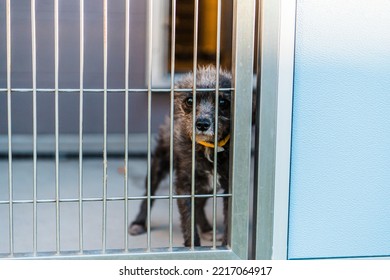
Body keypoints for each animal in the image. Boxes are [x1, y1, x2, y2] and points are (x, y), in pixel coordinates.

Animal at [128, 64, 232, 246]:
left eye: (223, 102)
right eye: (189, 101)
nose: (202, 124)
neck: (207, 149)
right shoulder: (184, 185)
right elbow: (188, 220)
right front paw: (194, 248)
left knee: (199, 205)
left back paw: (206, 229)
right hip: (159, 165)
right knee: (148, 196)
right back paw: (138, 223)